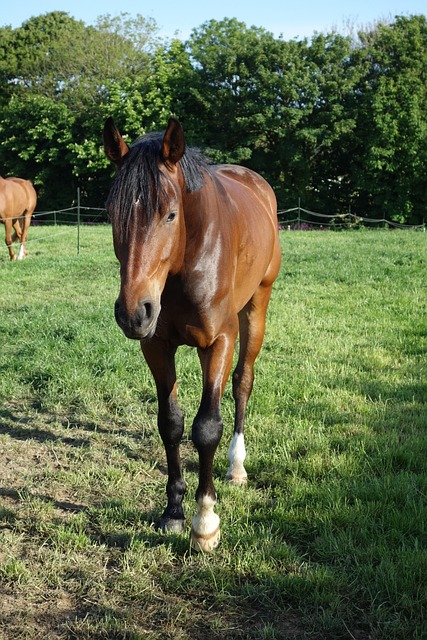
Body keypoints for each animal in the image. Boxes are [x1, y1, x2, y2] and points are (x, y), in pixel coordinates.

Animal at [103, 116, 282, 551]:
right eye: (111, 213)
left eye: (170, 215)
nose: (132, 313)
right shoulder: (156, 345)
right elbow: (171, 423)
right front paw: (173, 511)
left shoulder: (218, 342)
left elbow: (206, 427)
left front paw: (205, 522)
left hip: (257, 306)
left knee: (243, 382)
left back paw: (236, 466)